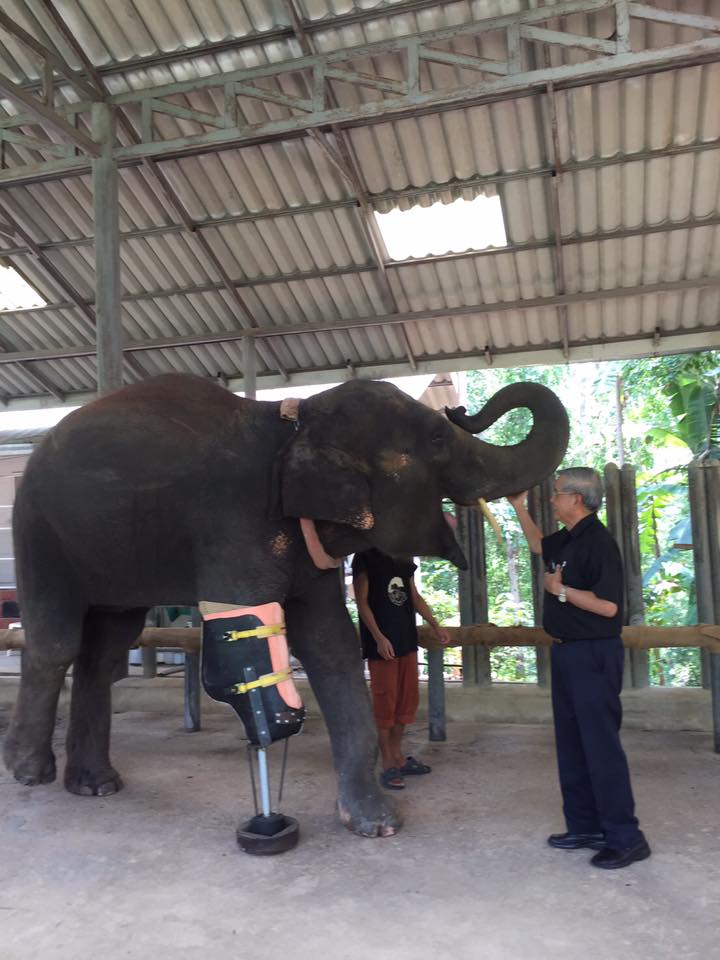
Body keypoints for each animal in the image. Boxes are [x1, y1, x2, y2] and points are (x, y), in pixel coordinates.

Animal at [3, 373, 569, 837]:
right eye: (436, 439)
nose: (462, 406)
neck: (294, 418)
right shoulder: (232, 524)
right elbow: (245, 640)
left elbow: (331, 646)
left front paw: (376, 824)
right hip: (37, 529)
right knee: (56, 642)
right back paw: (29, 771)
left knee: (104, 651)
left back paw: (95, 784)